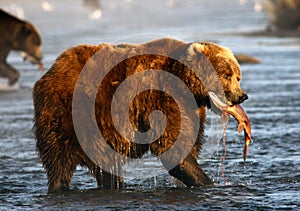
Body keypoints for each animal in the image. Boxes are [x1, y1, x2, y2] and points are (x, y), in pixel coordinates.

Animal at [33, 38, 248, 193]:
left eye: (238, 76)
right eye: (226, 74)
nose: (241, 96)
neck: (189, 87)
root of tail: (52, 69)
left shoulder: (192, 110)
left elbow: (189, 142)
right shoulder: (162, 98)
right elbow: (171, 146)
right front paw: (208, 182)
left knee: (105, 164)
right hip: (68, 114)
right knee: (59, 160)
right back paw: (59, 187)